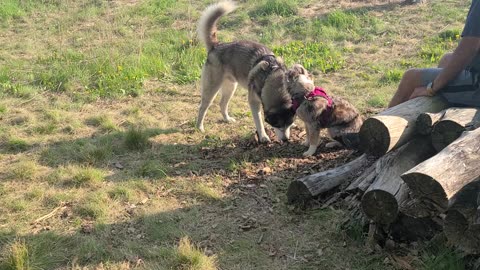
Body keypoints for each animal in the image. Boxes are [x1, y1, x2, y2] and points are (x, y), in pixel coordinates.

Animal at [194, 1, 292, 142]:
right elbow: (259, 122)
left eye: (290, 123)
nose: (286, 140)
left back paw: (227, 119)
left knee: (222, 104)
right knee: (203, 107)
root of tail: (216, 46)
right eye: (277, 124)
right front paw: (263, 137)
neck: (272, 75)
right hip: (211, 89)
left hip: (230, 87)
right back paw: (199, 127)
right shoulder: (254, 102)